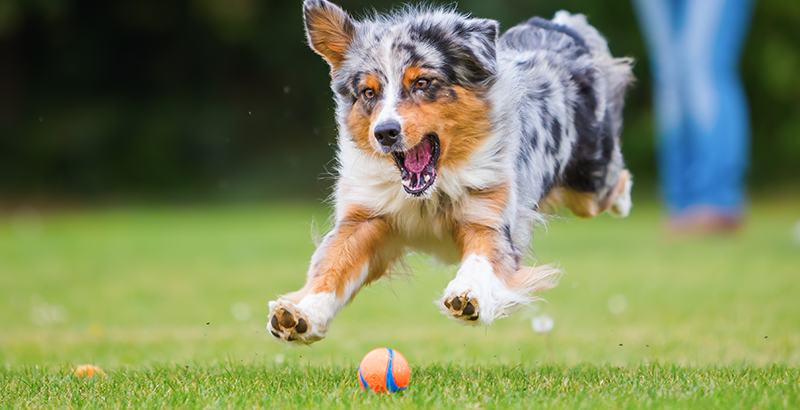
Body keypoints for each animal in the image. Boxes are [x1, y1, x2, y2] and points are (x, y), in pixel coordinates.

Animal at [270, 0, 636, 346]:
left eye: (421, 82)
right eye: (369, 92)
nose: (384, 132)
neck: (428, 194)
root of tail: (560, 28)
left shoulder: (488, 217)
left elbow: (481, 259)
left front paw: (469, 294)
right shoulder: (364, 219)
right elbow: (331, 265)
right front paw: (301, 314)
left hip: (591, 182)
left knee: (615, 180)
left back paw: (624, 202)